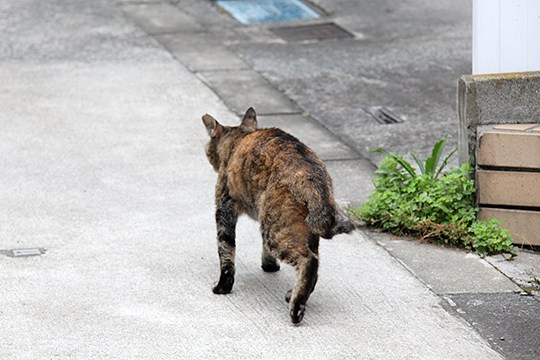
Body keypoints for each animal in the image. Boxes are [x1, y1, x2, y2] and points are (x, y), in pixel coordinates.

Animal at [202, 107, 354, 324]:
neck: (239, 139)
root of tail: (313, 176)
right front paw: (269, 265)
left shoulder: (224, 208)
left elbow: (226, 251)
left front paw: (223, 286)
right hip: (298, 229)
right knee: (315, 263)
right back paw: (295, 294)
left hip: (275, 229)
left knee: (308, 260)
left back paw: (296, 309)